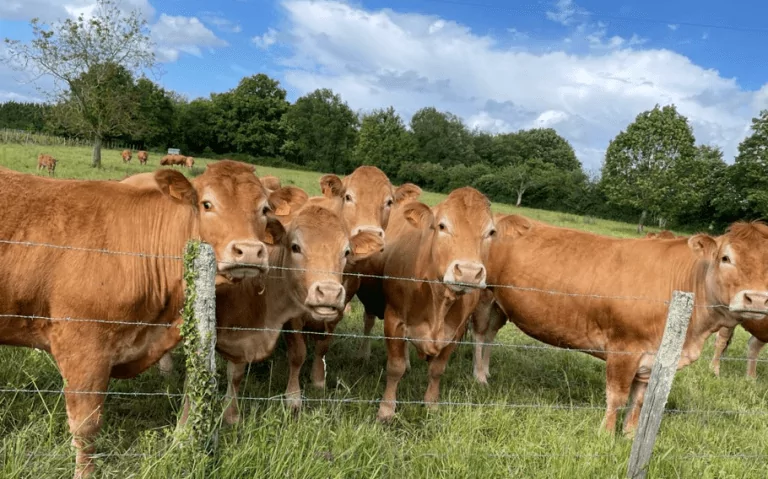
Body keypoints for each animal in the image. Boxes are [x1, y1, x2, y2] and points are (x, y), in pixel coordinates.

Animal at [0, 160, 279, 478]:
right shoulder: (83, 347)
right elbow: (86, 425)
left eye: (265, 209)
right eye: (207, 204)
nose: (250, 251)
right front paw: (85, 472)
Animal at [215, 204, 384, 424]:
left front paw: (318, 379)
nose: (328, 292)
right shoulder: (291, 318)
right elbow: (297, 354)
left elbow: (323, 346)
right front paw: (293, 397)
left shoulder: (337, 312)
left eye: (346, 251)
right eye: (295, 247)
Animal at [354, 187, 495, 422]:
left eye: (491, 232)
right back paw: (363, 354)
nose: (468, 272)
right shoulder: (394, 320)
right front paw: (386, 410)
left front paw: (431, 405)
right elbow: (395, 367)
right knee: (368, 321)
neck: (439, 301)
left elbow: (437, 369)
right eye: (442, 226)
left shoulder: (454, 333)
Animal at [484, 215, 768, 435]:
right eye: (725, 258)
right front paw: (606, 435)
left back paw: (484, 376)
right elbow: (617, 397)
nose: (756, 299)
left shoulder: (651, 359)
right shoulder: (624, 349)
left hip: (496, 306)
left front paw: (630, 435)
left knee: (486, 335)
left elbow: (639, 401)